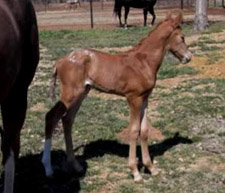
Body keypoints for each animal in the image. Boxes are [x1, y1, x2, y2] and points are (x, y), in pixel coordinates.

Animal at [41, 12, 191, 182]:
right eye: (182, 37)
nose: (188, 57)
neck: (144, 62)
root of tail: (60, 61)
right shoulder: (133, 98)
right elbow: (134, 130)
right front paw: (135, 172)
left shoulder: (145, 98)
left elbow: (144, 130)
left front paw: (151, 168)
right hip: (70, 93)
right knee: (51, 117)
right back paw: (48, 168)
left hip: (81, 93)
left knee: (67, 120)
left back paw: (76, 166)